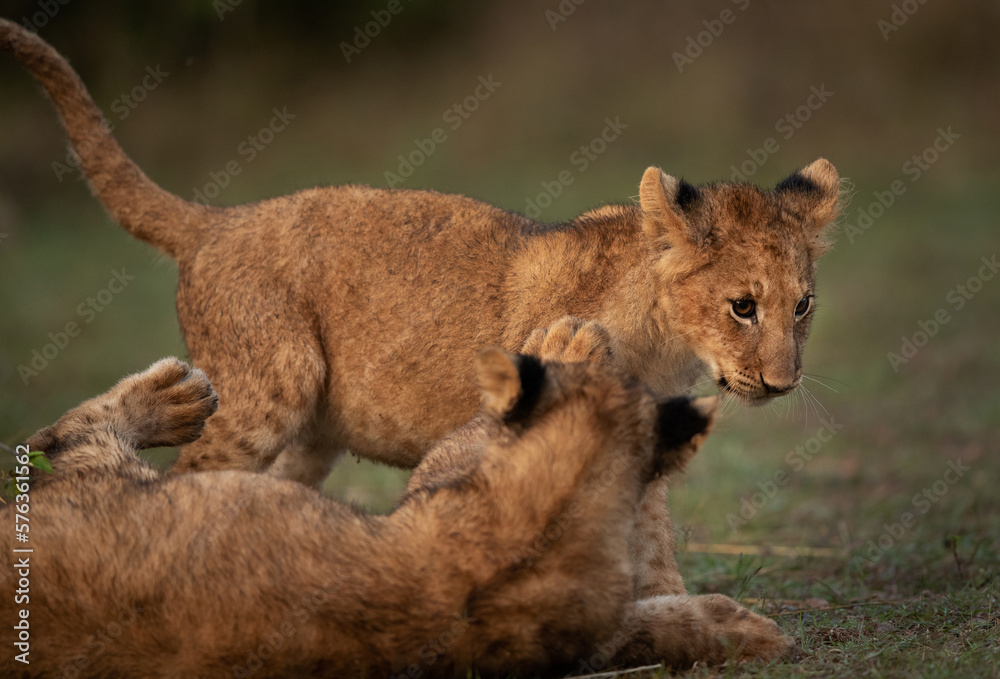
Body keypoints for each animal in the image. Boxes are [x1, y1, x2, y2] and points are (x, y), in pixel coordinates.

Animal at [1, 20, 843, 491]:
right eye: (743, 306)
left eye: (803, 305)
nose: (783, 383)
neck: (665, 339)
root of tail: (217, 219)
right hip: (271, 386)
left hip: (307, 432)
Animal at [2, 347, 791, 677]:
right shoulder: (440, 477)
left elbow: (659, 627)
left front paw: (748, 633)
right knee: (64, 431)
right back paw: (177, 396)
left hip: (107, 481)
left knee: (68, 434)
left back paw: (175, 398)